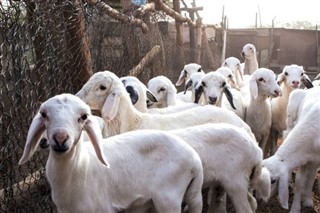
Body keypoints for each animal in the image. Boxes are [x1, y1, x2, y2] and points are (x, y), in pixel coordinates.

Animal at [18, 94, 204, 213]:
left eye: (83, 116)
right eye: (44, 114)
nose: (60, 138)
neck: (81, 166)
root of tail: (194, 159)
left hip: (168, 198)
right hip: (190, 195)